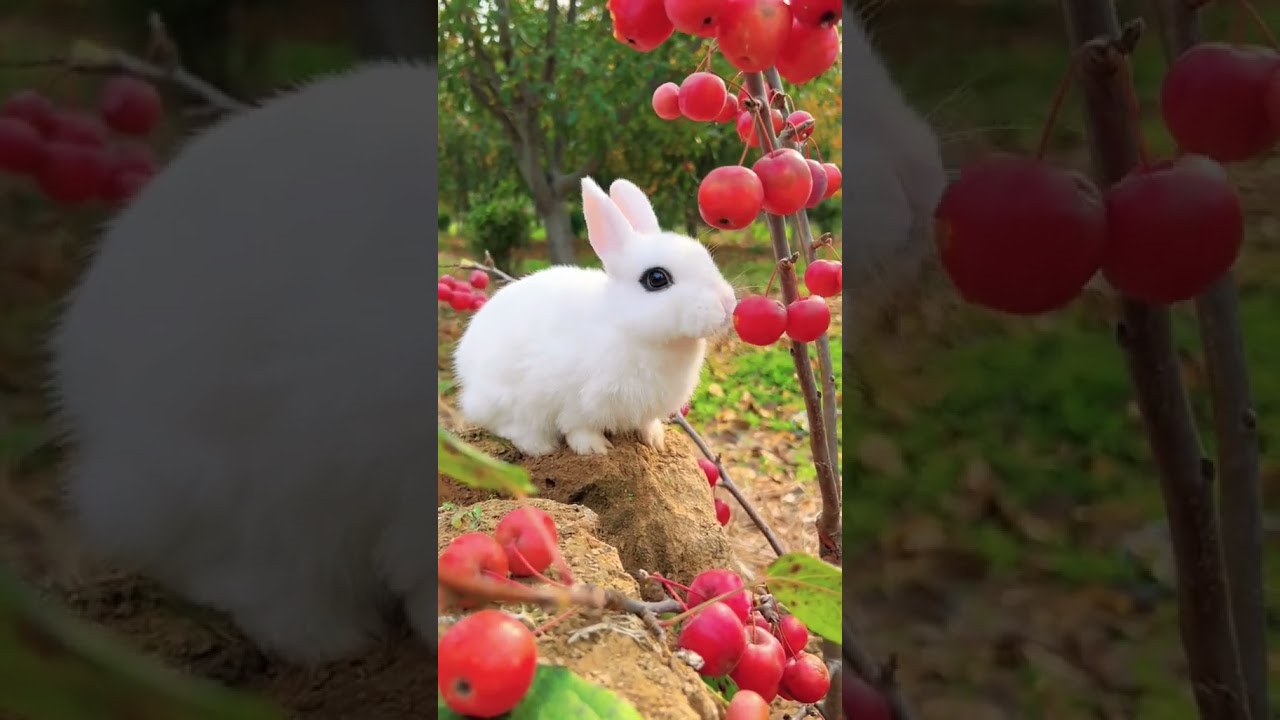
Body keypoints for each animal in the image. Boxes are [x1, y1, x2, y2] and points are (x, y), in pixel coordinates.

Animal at [452, 177, 738, 457]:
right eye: (657, 278)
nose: (728, 304)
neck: (627, 327)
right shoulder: (574, 400)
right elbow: (578, 427)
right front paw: (595, 448)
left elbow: (646, 422)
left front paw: (655, 440)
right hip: (505, 399)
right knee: (509, 426)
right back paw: (541, 446)